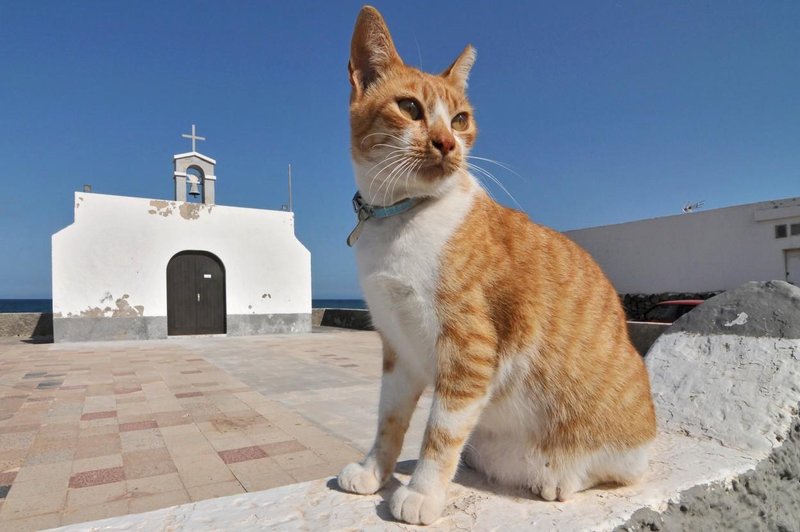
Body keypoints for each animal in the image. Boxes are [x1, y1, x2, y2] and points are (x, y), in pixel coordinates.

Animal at [338, 6, 656, 524]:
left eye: (460, 119)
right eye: (410, 108)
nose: (447, 143)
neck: (401, 218)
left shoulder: (470, 348)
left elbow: (440, 432)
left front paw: (422, 492)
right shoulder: (397, 347)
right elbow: (389, 420)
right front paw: (373, 472)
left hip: (614, 438)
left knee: (617, 470)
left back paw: (560, 478)